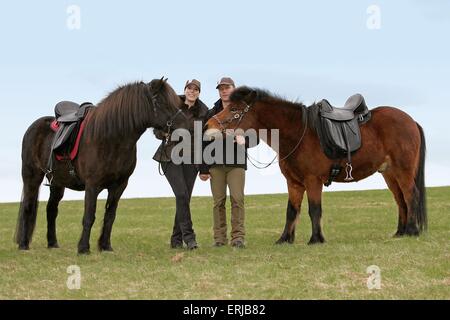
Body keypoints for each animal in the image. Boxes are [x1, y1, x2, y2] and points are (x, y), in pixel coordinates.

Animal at [15, 79, 188, 254]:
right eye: (160, 102)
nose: (185, 124)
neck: (110, 138)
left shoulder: (119, 185)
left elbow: (110, 215)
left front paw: (105, 246)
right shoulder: (92, 185)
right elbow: (89, 216)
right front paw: (83, 248)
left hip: (57, 182)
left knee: (51, 209)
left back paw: (52, 243)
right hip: (32, 176)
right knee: (28, 206)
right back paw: (23, 244)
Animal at [206, 86, 428, 244]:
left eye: (234, 109)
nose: (208, 126)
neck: (298, 132)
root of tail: (411, 121)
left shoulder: (313, 181)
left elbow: (314, 209)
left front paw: (316, 239)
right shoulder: (294, 183)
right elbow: (291, 210)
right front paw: (285, 239)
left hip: (403, 171)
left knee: (411, 195)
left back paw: (412, 231)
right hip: (389, 174)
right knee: (400, 200)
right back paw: (400, 232)